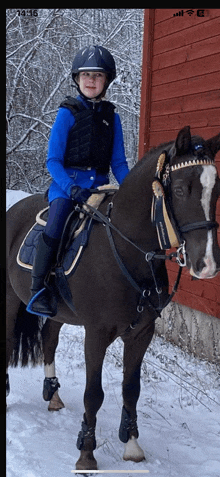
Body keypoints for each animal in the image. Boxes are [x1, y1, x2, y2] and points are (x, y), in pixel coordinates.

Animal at [6, 125, 220, 468]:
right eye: (180, 190)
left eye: (216, 191)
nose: (207, 264)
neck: (127, 251)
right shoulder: (96, 333)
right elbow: (94, 394)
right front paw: (86, 453)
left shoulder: (142, 333)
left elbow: (131, 389)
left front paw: (131, 445)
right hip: (11, 301)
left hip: (57, 311)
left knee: (49, 339)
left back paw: (53, 394)